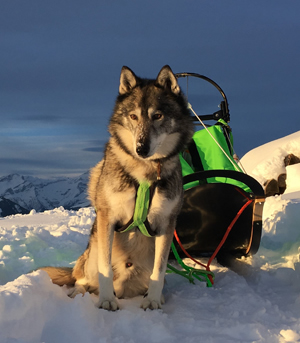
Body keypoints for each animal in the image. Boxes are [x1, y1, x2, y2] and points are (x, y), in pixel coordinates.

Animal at [41, 65, 192, 312]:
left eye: (158, 116)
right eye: (133, 116)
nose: (141, 148)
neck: (144, 173)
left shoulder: (166, 224)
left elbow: (159, 271)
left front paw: (153, 300)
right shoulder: (107, 218)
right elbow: (105, 269)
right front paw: (106, 300)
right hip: (91, 251)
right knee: (83, 279)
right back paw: (79, 293)